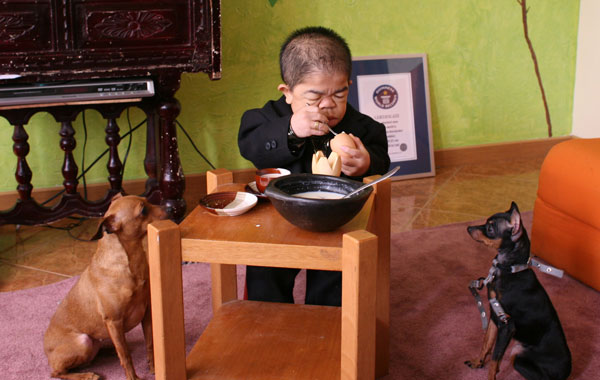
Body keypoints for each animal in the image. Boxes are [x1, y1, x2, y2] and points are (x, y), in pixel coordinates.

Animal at [43, 196, 166, 380]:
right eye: (143, 210)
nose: (169, 207)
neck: (132, 261)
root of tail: (47, 352)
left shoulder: (147, 313)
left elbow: (150, 344)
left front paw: (153, 369)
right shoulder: (114, 322)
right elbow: (125, 356)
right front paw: (132, 377)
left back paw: (108, 349)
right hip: (83, 342)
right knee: (57, 372)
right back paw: (86, 375)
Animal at [466, 202, 568, 380]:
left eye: (490, 228)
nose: (469, 228)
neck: (509, 270)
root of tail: (567, 371)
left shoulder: (507, 327)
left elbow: (495, 358)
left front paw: (490, 374)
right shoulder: (495, 317)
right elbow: (486, 344)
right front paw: (478, 362)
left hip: (518, 358)